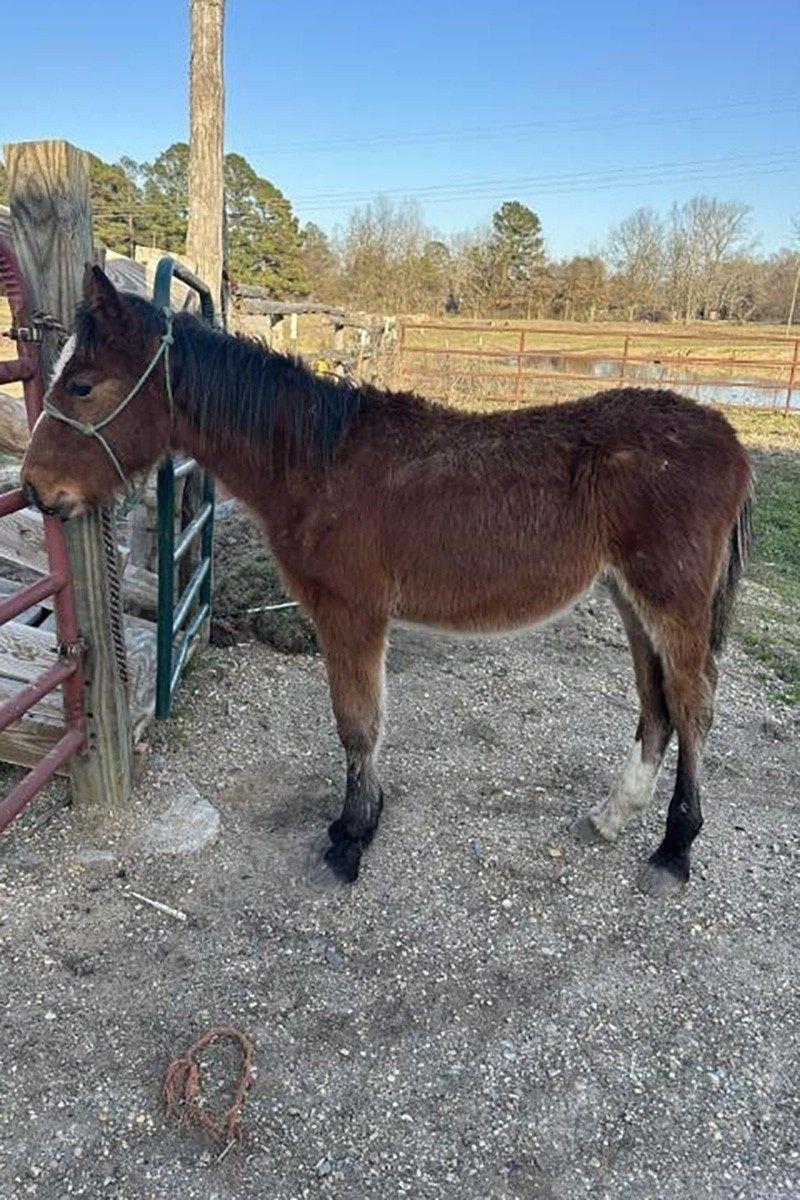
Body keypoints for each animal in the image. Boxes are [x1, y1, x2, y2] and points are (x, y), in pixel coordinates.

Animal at [21, 267, 753, 897]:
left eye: (82, 386)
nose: (35, 489)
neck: (318, 462)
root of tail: (729, 437)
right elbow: (361, 723)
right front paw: (357, 823)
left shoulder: (352, 613)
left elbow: (357, 724)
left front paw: (351, 839)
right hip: (630, 597)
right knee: (658, 704)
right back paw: (612, 816)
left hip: (672, 601)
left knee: (693, 707)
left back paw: (673, 851)